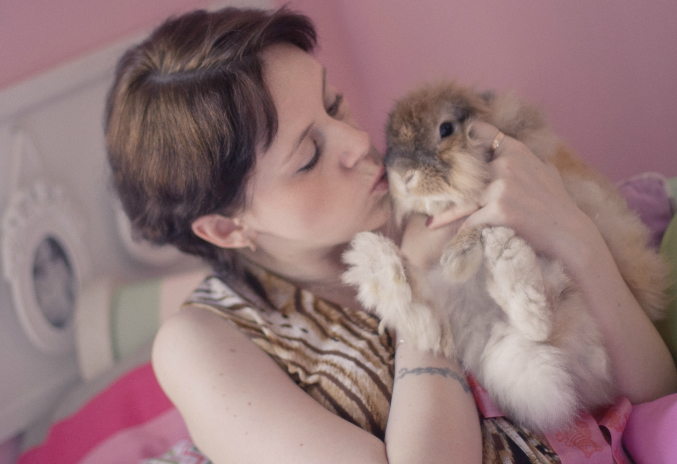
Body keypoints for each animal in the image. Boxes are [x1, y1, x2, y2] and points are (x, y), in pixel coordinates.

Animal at [342, 81, 670, 432]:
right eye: (390, 144)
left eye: (445, 129)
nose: (403, 177)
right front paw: (458, 256)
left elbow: (477, 222)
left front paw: (458, 257)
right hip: (493, 347)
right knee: (436, 323)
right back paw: (375, 263)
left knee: (540, 316)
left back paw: (499, 258)